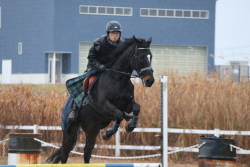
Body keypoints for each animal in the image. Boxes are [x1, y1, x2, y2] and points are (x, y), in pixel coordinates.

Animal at [45, 35, 153, 163]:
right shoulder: (103, 105)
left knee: (87, 151)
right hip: (69, 130)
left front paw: (130, 126)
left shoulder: (126, 104)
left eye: (150, 56)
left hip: (92, 129)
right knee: (64, 153)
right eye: (141, 57)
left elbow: (135, 108)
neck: (118, 79)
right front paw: (108, 133)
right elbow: (119, 115)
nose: (150, 81)